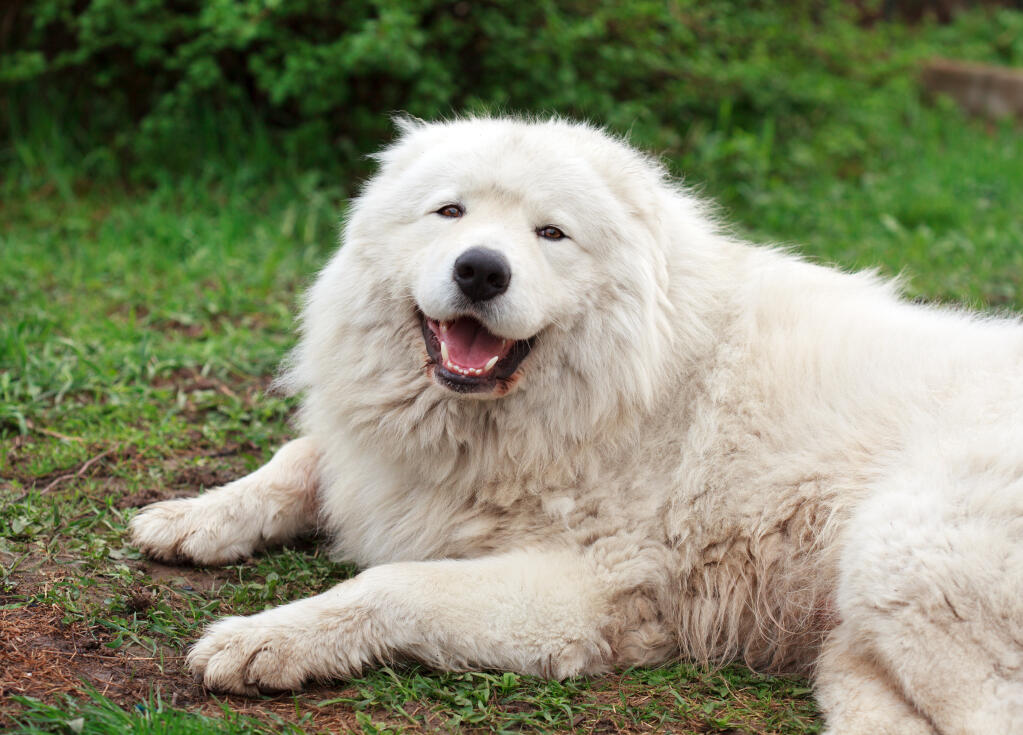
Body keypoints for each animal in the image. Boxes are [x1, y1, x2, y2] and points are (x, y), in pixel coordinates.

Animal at [129, 118, 1023, 732]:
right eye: (449, 212)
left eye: (549, 233)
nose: (480, 270)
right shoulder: (388, 459)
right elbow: (300, 457)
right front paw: (195, 517)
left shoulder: (583, 592)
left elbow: (392, 583)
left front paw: (266, 638)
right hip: (850, 652)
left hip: (900, 555)